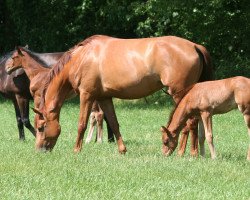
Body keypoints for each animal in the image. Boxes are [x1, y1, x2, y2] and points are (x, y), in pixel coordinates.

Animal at [31, 35, 213, 153]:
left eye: (41, 127)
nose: (39, 150)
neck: (81, 58)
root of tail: (195, 46)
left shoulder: (86, 95)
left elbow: (81, 124)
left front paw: (76, 150)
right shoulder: (104, 98)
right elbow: (113, 123)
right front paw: (122, 150)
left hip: (179, 94)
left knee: (190, 124)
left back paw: (188, 153)